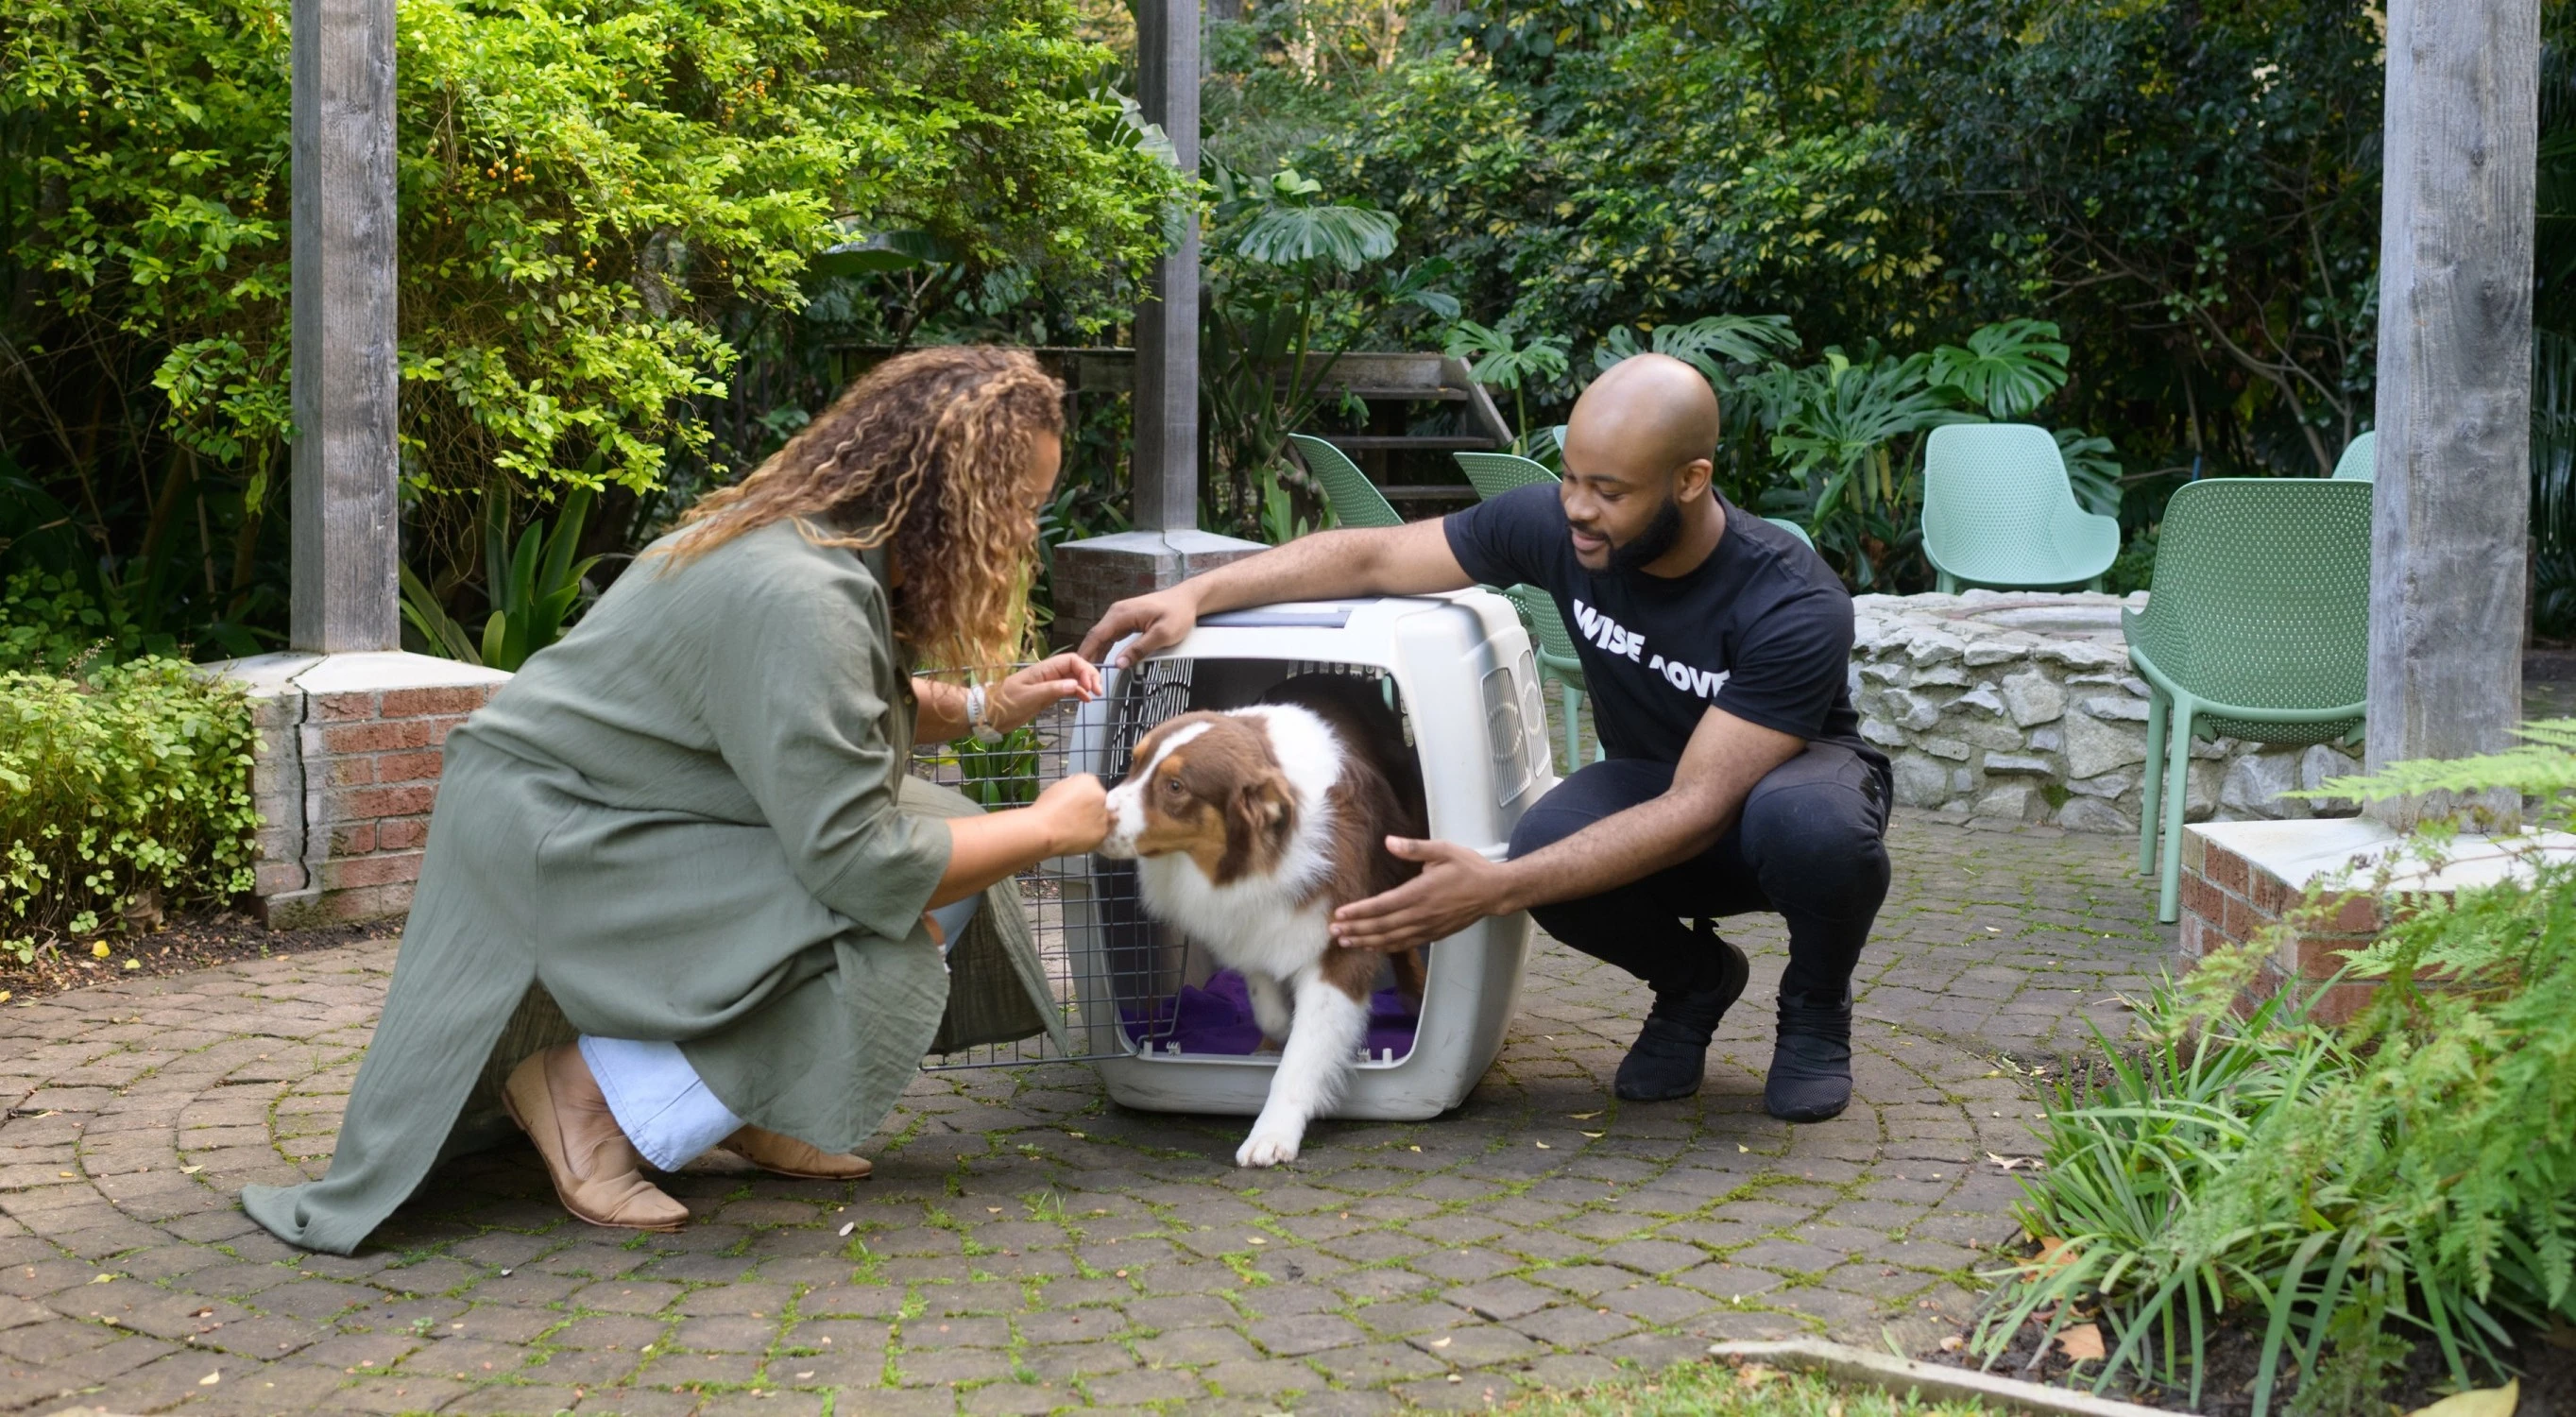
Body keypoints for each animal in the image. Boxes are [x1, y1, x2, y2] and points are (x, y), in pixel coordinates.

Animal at [1102, 685, 1442, 1169]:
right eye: (1133, 760)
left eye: (1175, 787)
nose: (1093, 815)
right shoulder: (1246, 917)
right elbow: (1264, 991)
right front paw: (1274, 1030)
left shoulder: (1340, 946)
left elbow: (1302, 1055)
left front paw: (1272, 1133)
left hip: (1404, 846)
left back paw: (1415, 992)